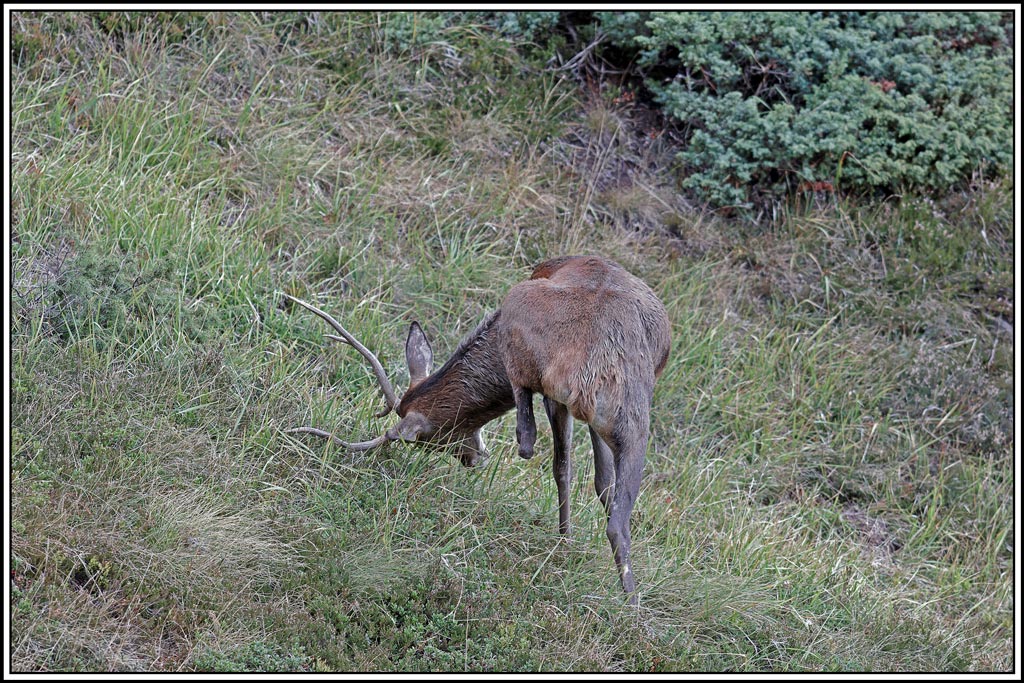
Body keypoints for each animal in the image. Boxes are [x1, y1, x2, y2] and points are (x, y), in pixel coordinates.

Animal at [284, 255, 671, 604]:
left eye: (431, 440)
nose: (473, 457)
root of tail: (596, 364)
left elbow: (570, 469)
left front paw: (565, 540)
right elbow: (598, 481)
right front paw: (567, 540)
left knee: (561, 466)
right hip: (627, 417)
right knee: (616, 511)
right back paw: (631, 600)